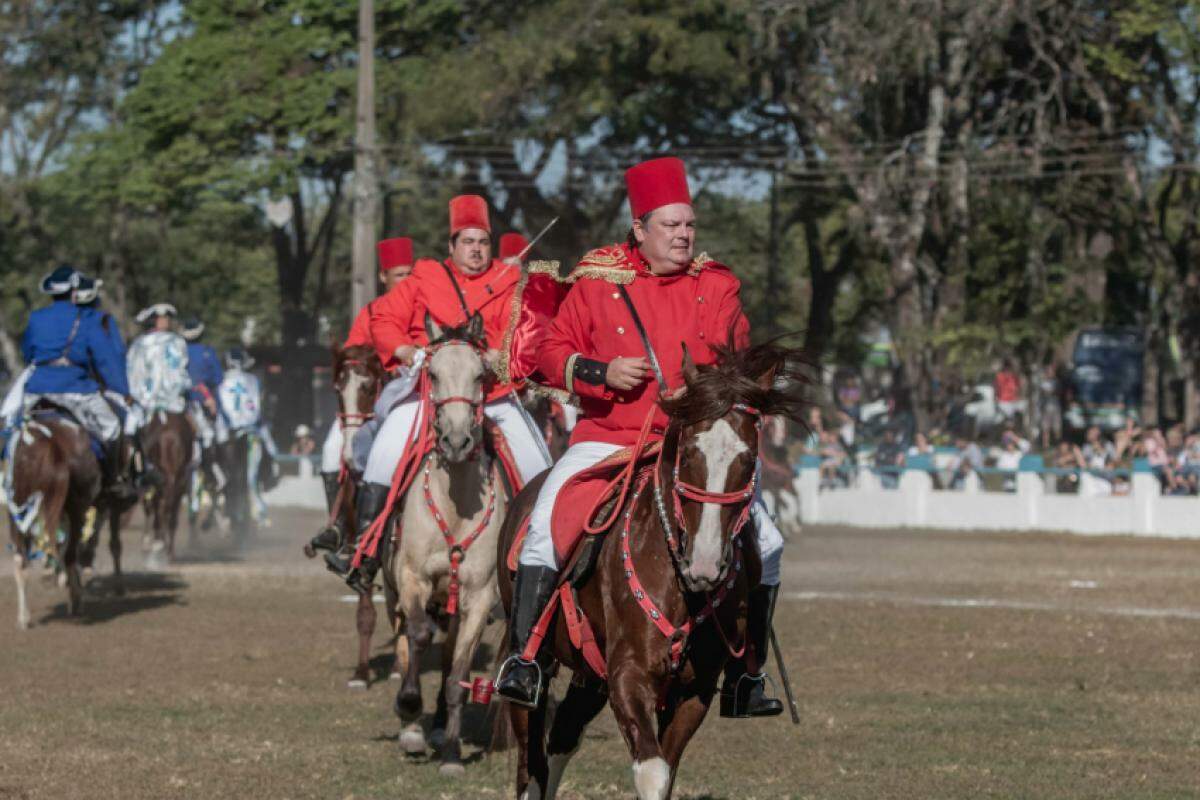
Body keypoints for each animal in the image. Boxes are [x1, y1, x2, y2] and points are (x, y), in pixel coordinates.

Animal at [386, 311, 508, 777]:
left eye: (480, 375)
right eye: (433, 373)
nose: (456, 443)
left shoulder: (477, 597)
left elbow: (457, 672)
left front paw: (453, 752)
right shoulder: (412, 578)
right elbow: (418, 635)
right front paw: (408, 705)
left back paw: (437, 727)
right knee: (406, 637)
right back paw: (412, 728)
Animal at [496, 340, 806, 796]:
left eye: (749, 460)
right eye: (689, 453)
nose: (705, 564)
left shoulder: (694, 691)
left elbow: (668, 769)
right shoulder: (629, 676)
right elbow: (654, 772)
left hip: (591, 675)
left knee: (563, 736)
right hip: (537, 668)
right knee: (530, 762)